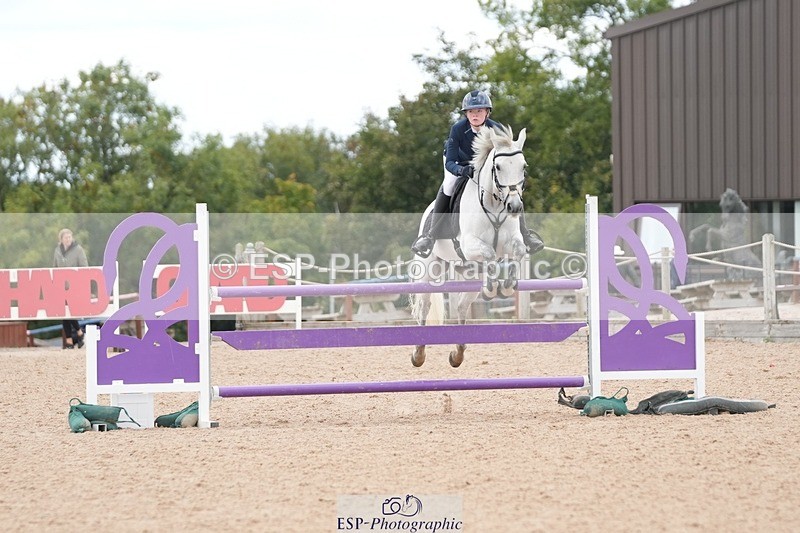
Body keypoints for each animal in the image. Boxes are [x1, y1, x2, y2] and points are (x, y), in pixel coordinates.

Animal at [410, 125, 529, 367]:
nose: (514, 207)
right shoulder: (470, 245)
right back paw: (419, 354)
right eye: (498, 167)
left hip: (469, 274)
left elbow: (518, 252)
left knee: (461, 306)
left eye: (524, 167)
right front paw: (492, 288)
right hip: (429, 268)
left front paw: (507, 285)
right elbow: (489, 253)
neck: (495, 205)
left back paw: (458, 353)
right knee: (425, 306)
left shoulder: (512, 242)